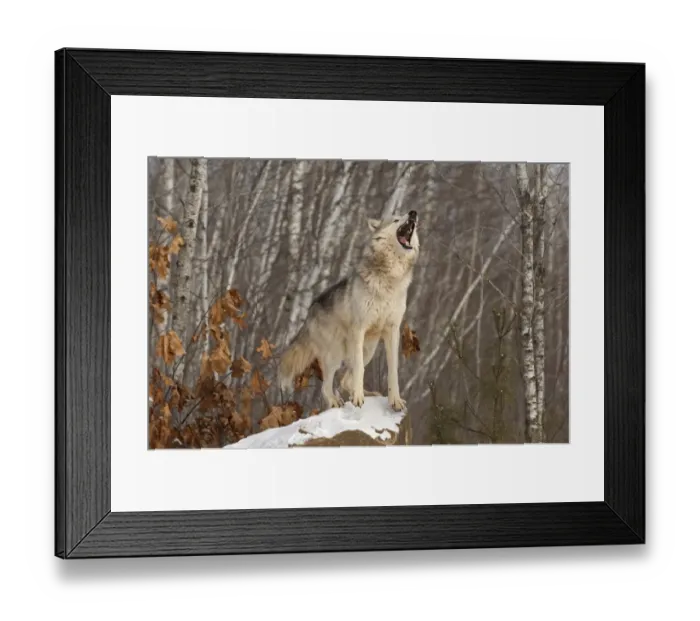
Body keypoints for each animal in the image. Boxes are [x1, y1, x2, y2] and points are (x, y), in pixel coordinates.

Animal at [279, 210, 419, 412]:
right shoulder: (358, 329)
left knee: (344, 381)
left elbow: (393, 370)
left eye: (409, 217)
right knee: (327, 386)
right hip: (336, 354)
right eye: (396, 219)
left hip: (368, 350)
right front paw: (357, 399)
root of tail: (310, 311)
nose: (413, 213)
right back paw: (337, 401)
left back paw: (368, 394)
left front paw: (395, 401)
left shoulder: (392, 330)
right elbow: (359, 369)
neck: (390, 277)